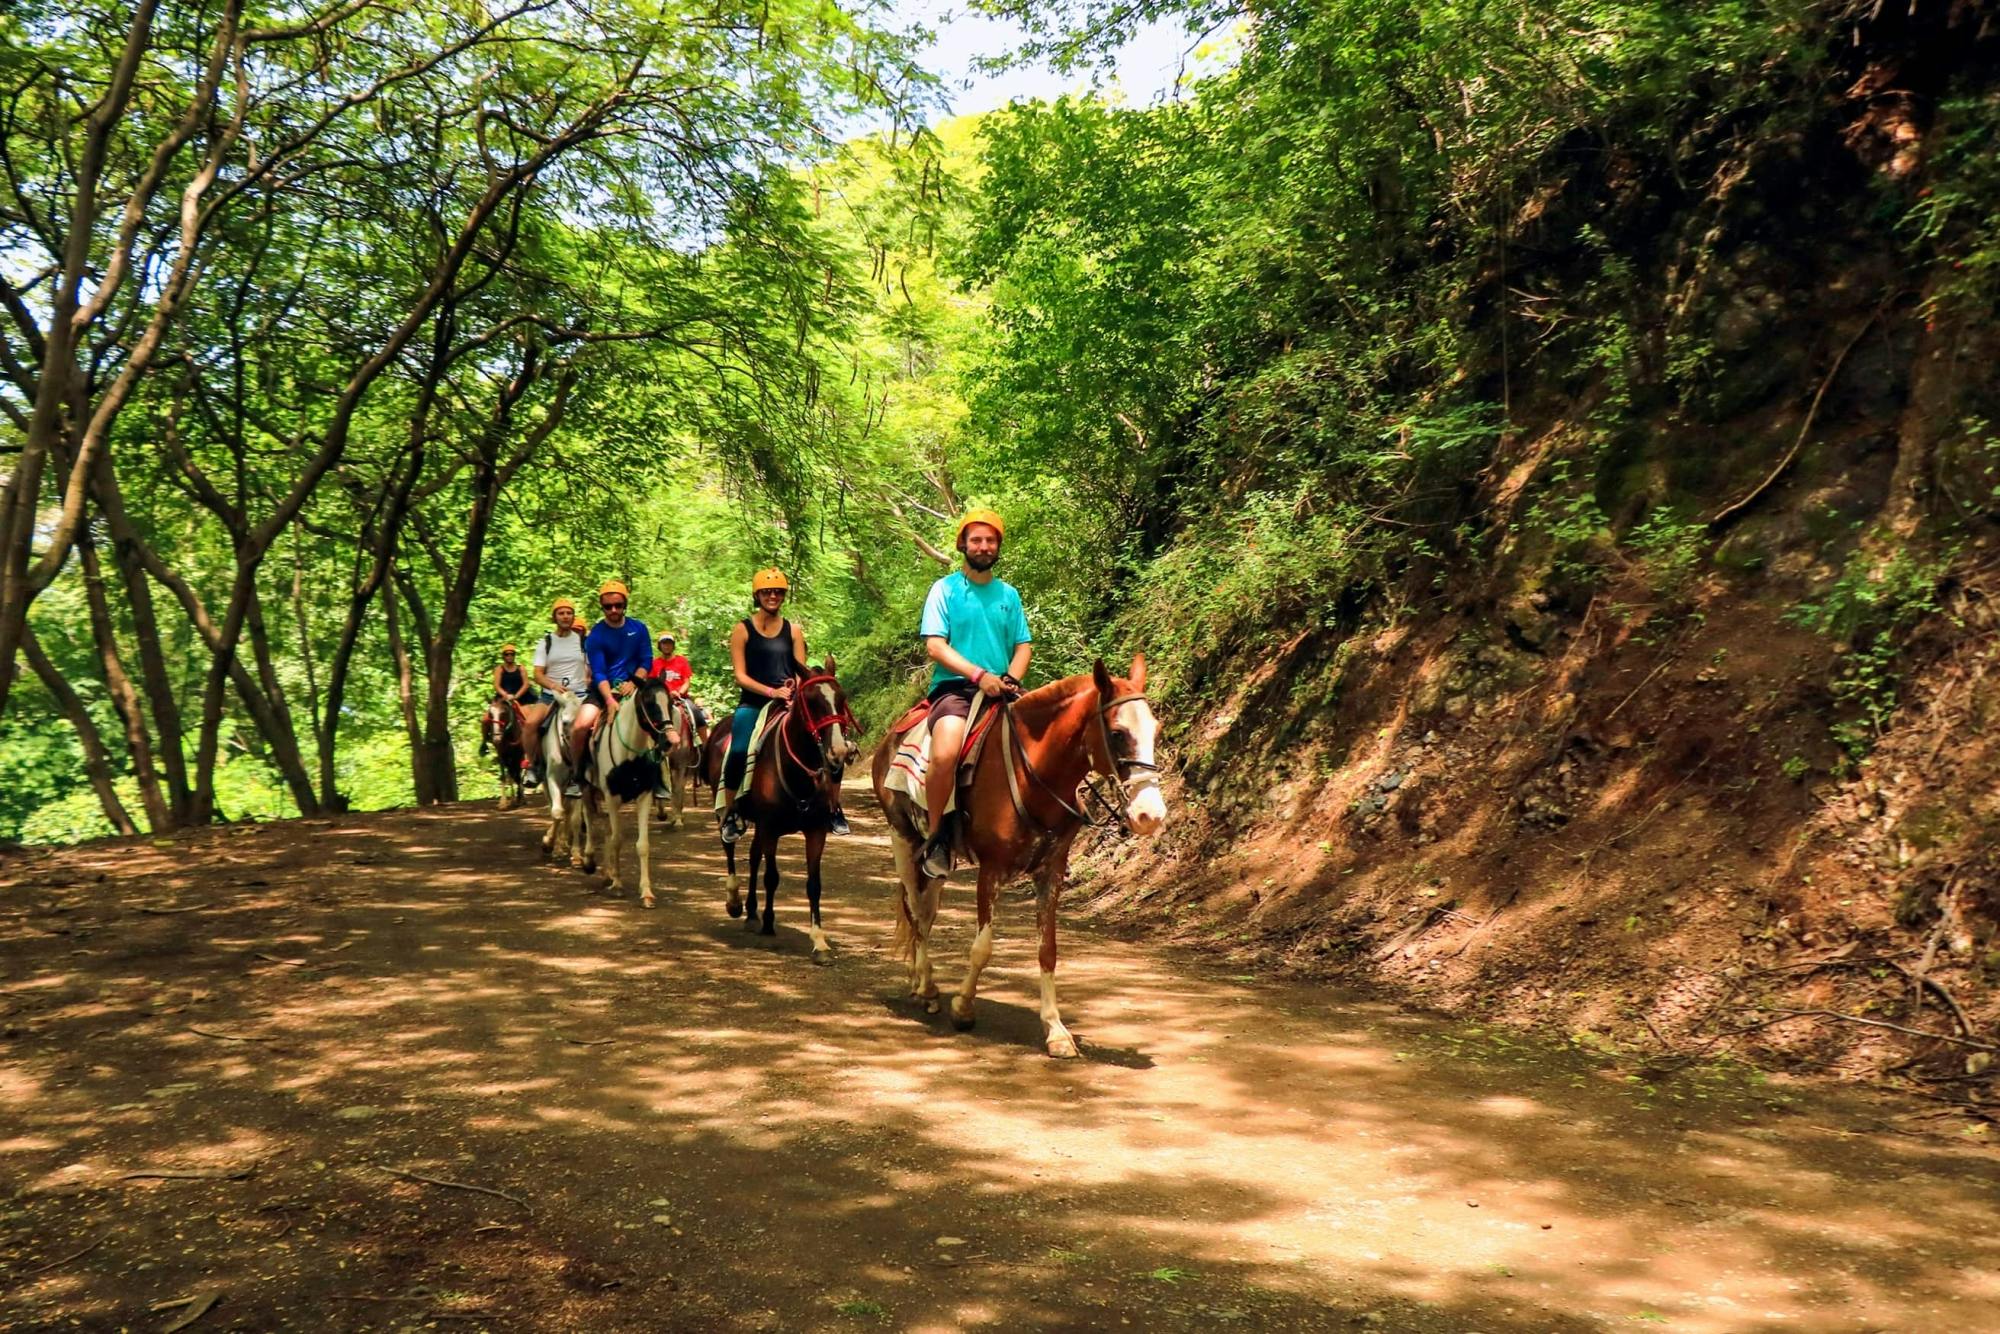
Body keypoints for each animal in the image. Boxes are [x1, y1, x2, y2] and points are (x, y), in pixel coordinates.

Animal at [580, 680, 672, 908]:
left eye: (670, 702)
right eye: (649, 702)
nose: (669, 740)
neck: (630, 755)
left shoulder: (644, 796)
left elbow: (642, 845)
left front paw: (646, 892)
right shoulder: (612, 797)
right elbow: (617, 839)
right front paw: (618, 885)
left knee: (604, 826)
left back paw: (607, 875)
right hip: (587, 787)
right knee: (589, 818)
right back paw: (589, 861)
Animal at [696, 660, 860, 960]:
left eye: (841, 699)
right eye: (812, 701)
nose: (839, 752)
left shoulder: (815, 831)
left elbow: (814, 884)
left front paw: (819, 941)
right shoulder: (770, 828)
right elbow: (771, 877)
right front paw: (769, 926)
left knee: (752, 857)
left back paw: (751, 914)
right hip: (726, 811)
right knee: (730, 849)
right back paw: (735, 902)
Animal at [868, 652, 1168, 1056]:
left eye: (1156, 730)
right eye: (1118, 733)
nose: (1150, 815)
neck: (1034, 777)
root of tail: (891, 737)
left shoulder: (1050, 872)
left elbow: (1048, 950)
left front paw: (1056, 1029)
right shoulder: (990, 870)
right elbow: (982, 948)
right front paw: (963, 1007)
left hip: (935, 864)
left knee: (926, 912)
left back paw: (921, 982)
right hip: (902, 837)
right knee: (914, 910)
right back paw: (927, 987)